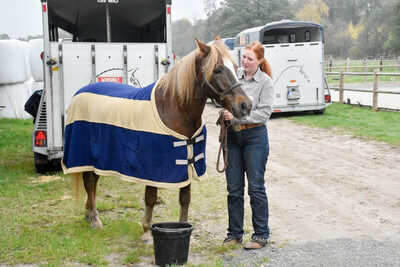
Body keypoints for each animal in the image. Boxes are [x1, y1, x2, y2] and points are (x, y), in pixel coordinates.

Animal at [61, 36, 252, 243]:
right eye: (217, 69)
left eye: (235, 66)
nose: (246, 105)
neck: (173, 107)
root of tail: (80, 92)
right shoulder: (152, 168)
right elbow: (150, 198)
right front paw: (146, 232)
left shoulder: (188, 162)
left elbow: (185, 198)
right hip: (84, 155)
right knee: (89, 183)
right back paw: (95, 219)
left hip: (97, 158)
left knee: (93, 181)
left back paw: (89, 214)